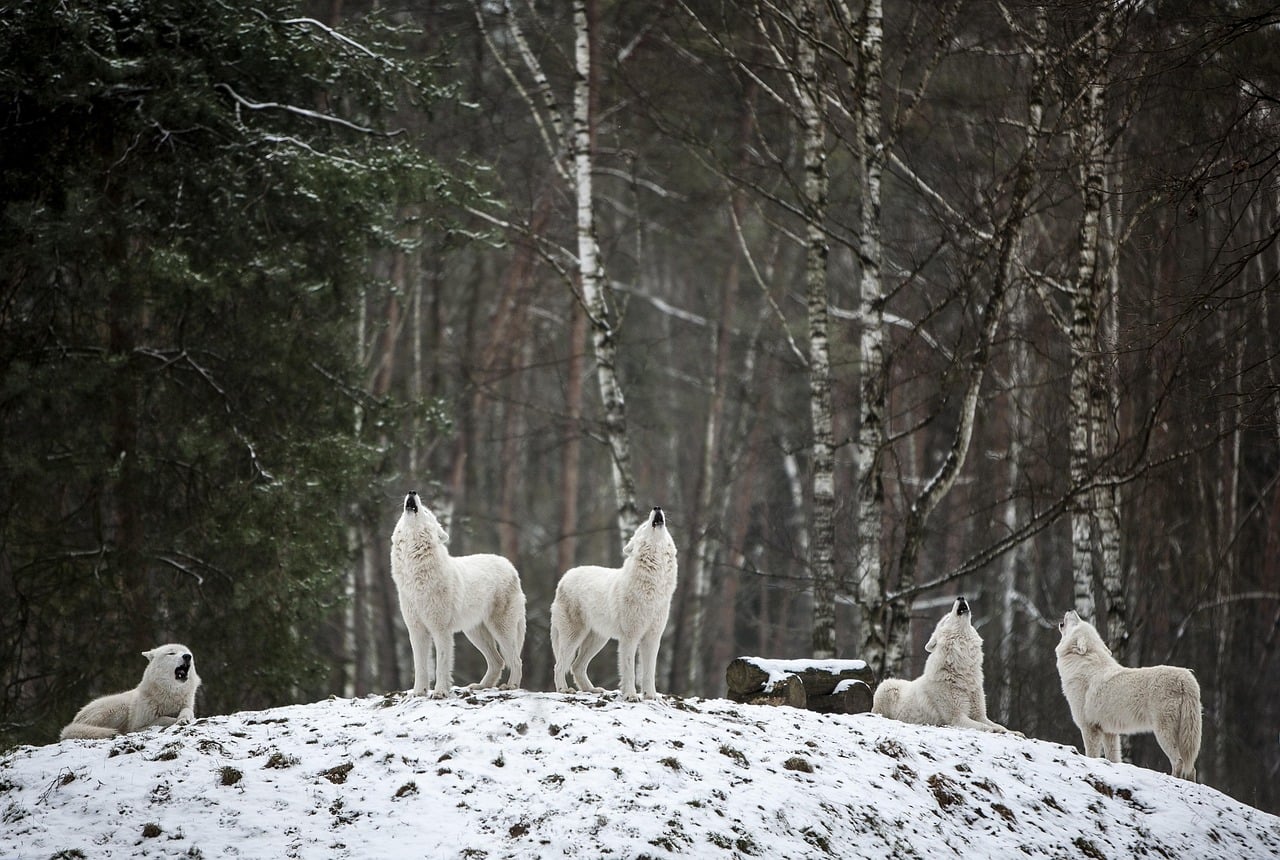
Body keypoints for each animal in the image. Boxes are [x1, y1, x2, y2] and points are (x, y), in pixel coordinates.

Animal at [60, 645, 200, 740]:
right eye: (171, 653)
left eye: (187, 653)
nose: (187, 656)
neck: (170, 695)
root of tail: (74, 721)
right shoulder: (137, 726)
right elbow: (163, 719)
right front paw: (174, 720)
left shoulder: (186, 705)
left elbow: (187, 711)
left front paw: (183, 719)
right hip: (119, 708)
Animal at [390, 491, 526, 698]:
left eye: (427, 512)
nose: (412, 492)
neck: (415, 576)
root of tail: (510, 566)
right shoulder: (416, 630)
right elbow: (420, 666)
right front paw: (419, 692)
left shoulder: (441, 630)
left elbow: (441, 664)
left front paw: (439, 692)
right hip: (475, 633)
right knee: (498, 661)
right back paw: (481, 686)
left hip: (501, 630)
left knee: (516, 660)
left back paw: (511, 686)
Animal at [551, 507, 678, 701]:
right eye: (643, 526)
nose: (657, 508)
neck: (653, 587)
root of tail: (565, 577)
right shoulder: (630, 637)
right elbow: (629, 670)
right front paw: (631, 695)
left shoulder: (653, 638)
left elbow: (649, 672)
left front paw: (651, 696)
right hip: (574, 637)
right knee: (560, 665)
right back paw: (564, 690)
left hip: (598, 640)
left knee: (576, 666)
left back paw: (592, 689)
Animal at [872, 596, 1013, 733]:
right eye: (947, 618)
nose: (960, 597)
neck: (962, 670)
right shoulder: (957, 718)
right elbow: (985, 726)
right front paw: (995, 730)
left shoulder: (979, 715)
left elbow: (999, 725)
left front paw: (1012, 732)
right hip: (887, 686)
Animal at [1055, 610, 1201, 780]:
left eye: (1077, 622)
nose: (1072, 611)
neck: (1083, 664)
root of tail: (1185, 678)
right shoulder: (1109, 732)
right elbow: (1113, 758)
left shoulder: (1089, 728)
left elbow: (1091, 755)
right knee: (1191, 768)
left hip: (1163, 732)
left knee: (1178, 762)